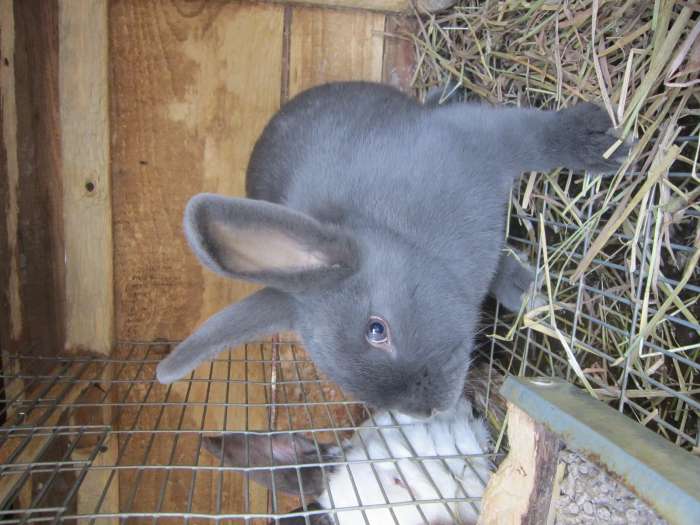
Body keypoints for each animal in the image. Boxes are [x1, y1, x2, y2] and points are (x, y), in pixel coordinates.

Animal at [155, 81, 631, 417]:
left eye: (376, 329)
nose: (430, 411)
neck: (407, 238)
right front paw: (523, 289)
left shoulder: (481, 138)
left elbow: (535, 139)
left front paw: (598, 140)